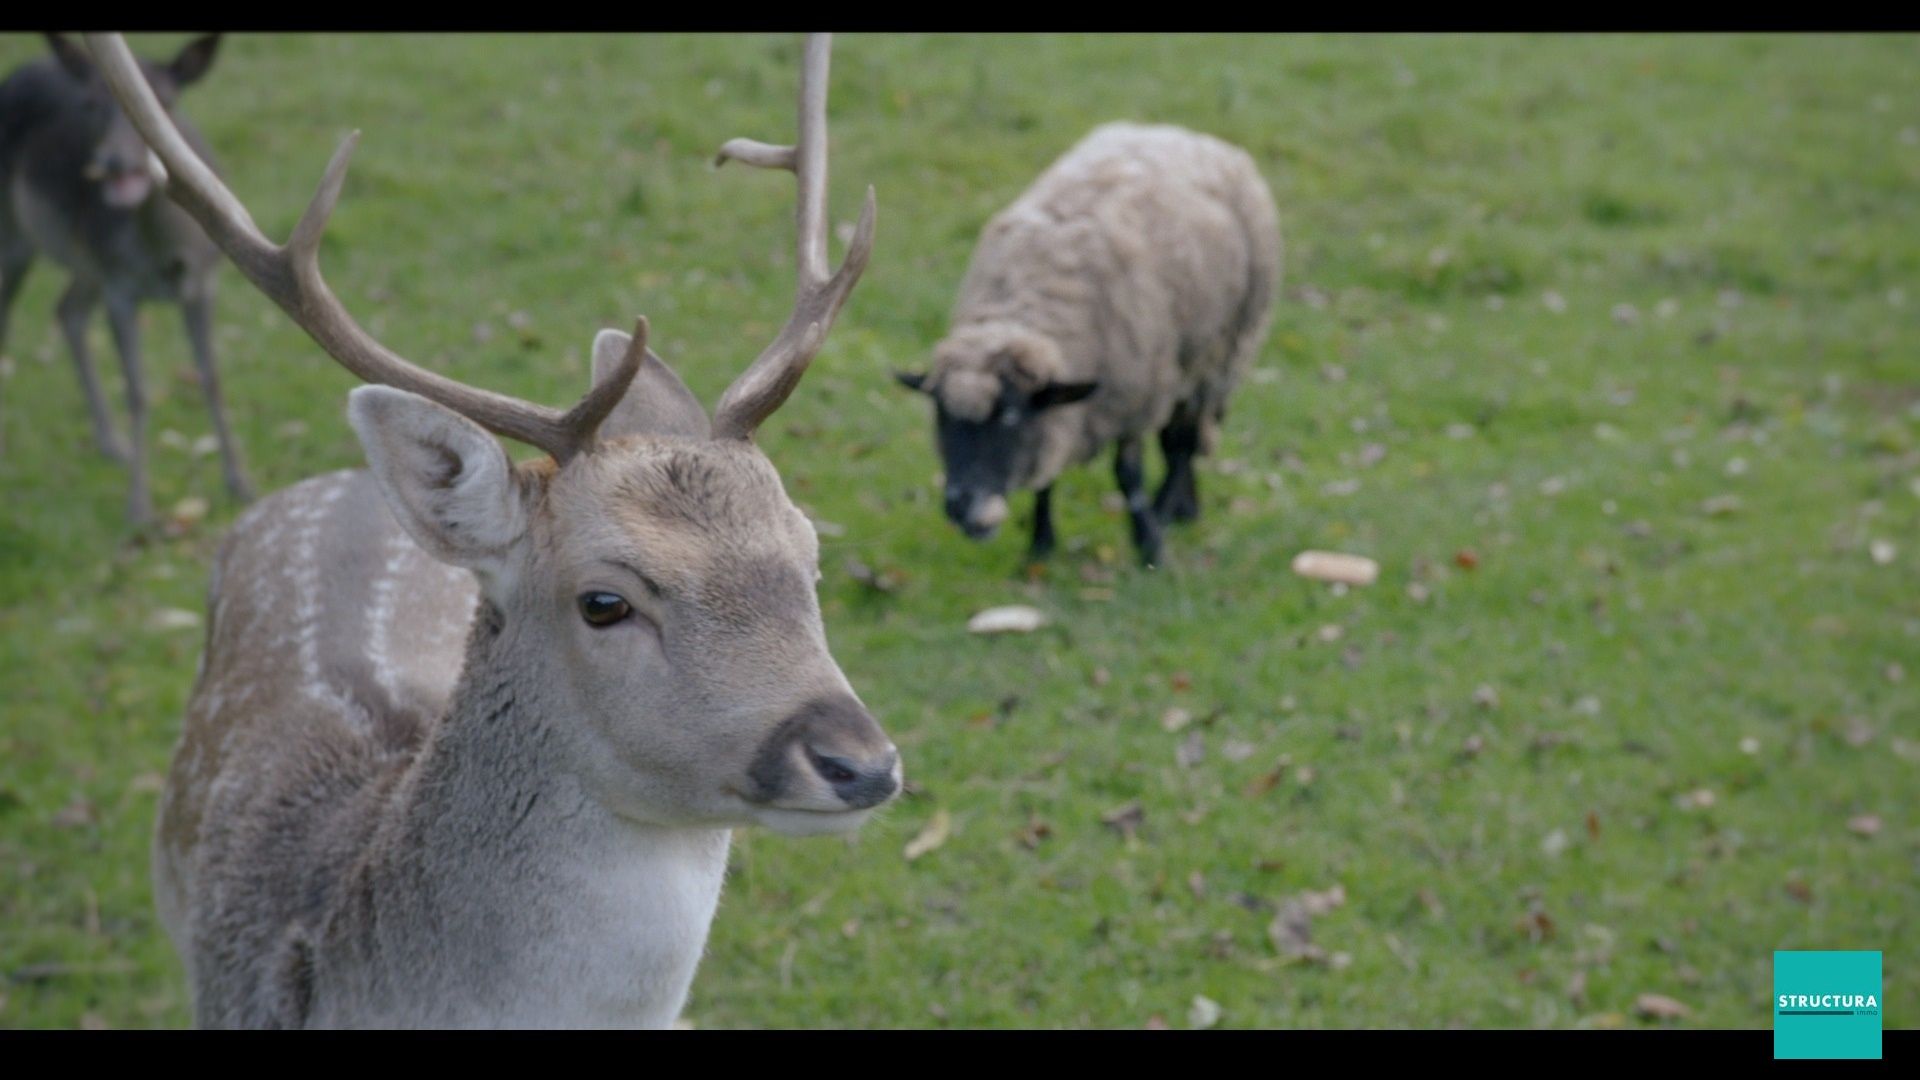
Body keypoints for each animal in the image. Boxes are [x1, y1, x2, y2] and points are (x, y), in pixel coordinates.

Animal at [0, 33, 249, 518]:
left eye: (167, 101)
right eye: (93, 104)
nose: (113, 162)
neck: (166, 256)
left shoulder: (202, 284)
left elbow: (211, 376)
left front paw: (239, 483)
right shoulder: (120, 287)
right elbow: (137, 390)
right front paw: (139, 507)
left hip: (86, 263)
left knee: (68, 310)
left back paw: (111, 443)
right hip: (19, 237)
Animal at [894, 121, 1282, 564]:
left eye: (1010, 417)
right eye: (942, 417)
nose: (961, 506)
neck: (1031, 300)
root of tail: (1183, 133)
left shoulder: (1135, 396)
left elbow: (1128, 475)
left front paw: (1149, 545)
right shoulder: (1059, 412)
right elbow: (1047, 476)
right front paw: (1041, 544)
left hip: (1220, 354)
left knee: (1180, 443)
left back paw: (1167, 508)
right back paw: (1187, 508)